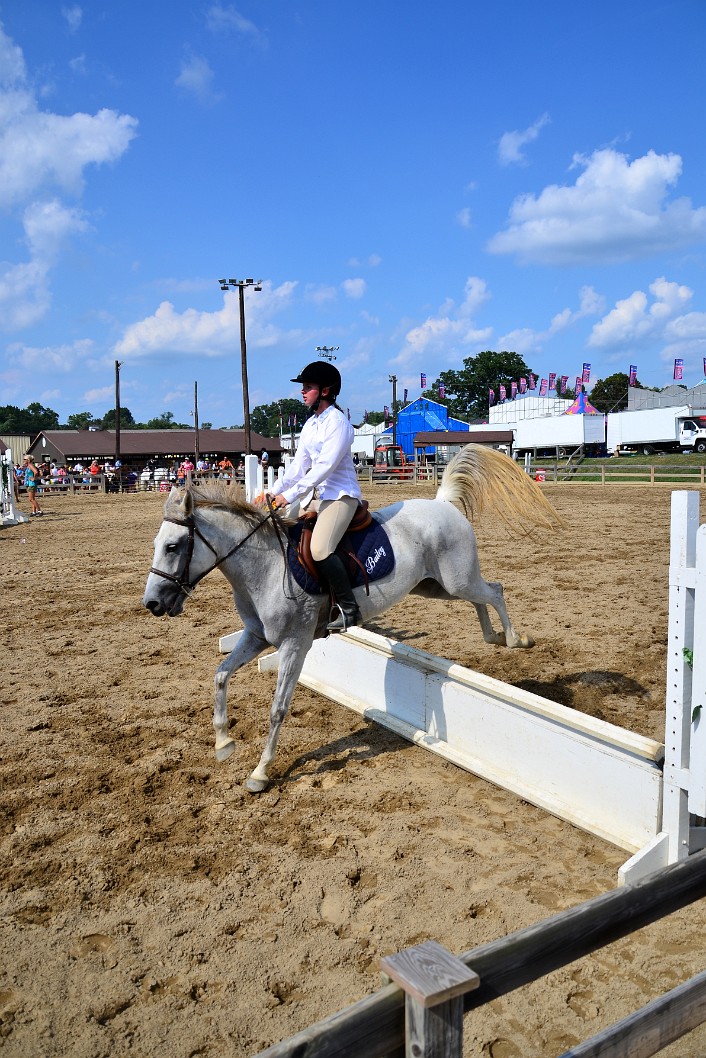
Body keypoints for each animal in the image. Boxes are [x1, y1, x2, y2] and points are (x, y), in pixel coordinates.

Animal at [143, 442, 563, 791]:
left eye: (173, 546)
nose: (153, 604)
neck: (264, 566)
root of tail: (442, 503)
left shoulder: (295, 644)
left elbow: (278, 709)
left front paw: (261, 772)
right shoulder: (256, 637)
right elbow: (220, 675)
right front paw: (223, 742)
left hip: (457, 580)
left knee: (496, 590)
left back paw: (515, 639)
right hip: (437, 586)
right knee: (484, 595)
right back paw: (493, 637)